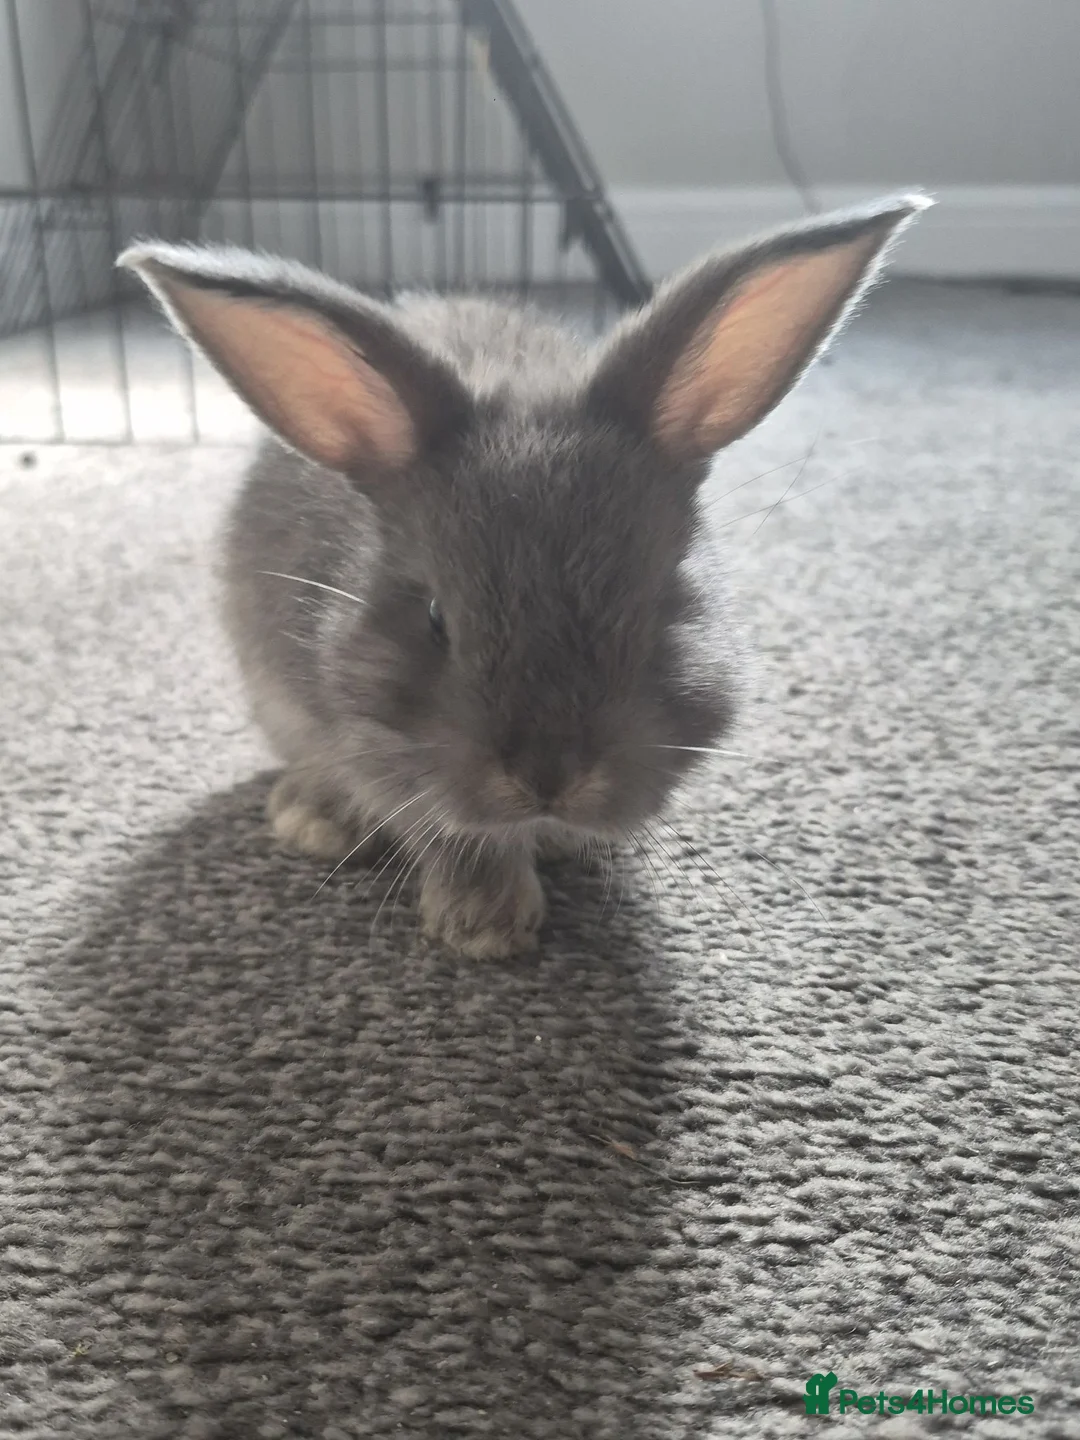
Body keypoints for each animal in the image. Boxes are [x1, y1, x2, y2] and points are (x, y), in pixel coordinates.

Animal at [120, 192, 929, 958]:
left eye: (660, 601)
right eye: (436, 619)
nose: (549, 778)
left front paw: (555, 851)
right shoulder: (381, 752)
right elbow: (451, 831)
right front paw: (485, 925)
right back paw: (313, 819)